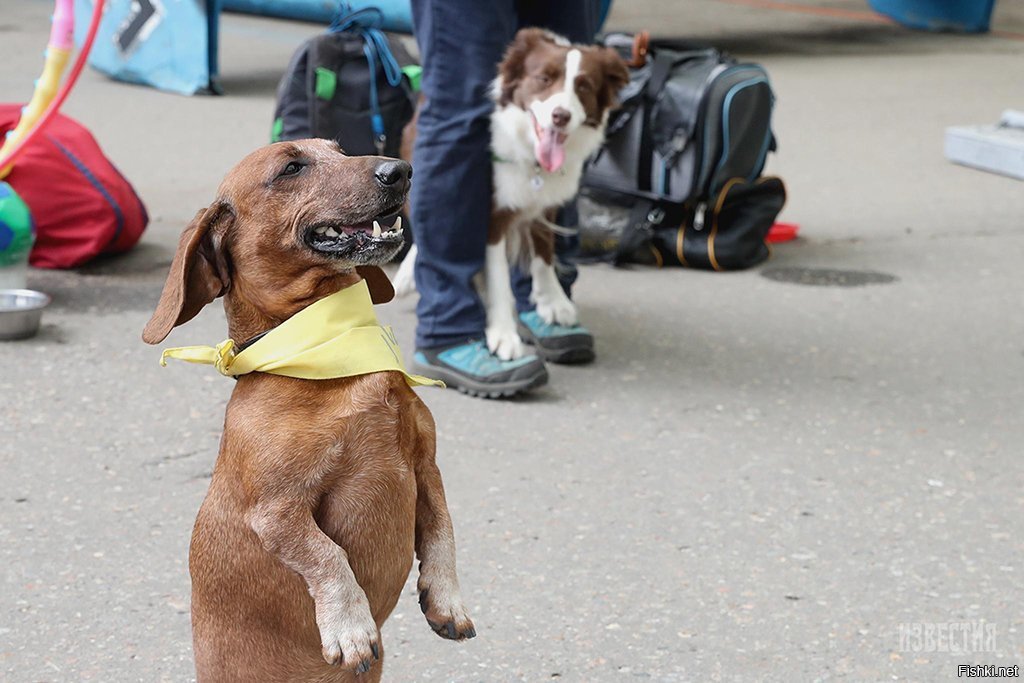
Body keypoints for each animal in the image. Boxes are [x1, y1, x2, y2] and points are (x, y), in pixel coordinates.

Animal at [143, 140, 475, 683]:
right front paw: (351, 626)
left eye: (339, 149)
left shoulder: (426, 467)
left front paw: (447, 600)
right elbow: (328, 556)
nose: (401, 170)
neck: (329, 348)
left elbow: (443, 529)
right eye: (291, 167)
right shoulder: (278, 511)